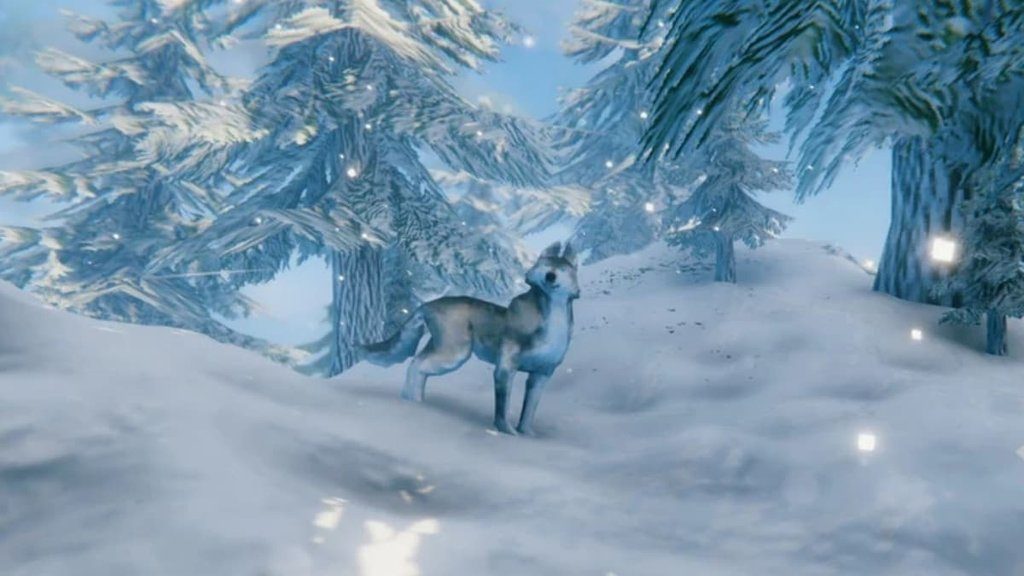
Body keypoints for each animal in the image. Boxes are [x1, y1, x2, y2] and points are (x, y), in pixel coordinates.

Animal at [361, 241, 580, 436]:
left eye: (563, 270)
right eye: (544, 266)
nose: (550, 276)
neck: (552, 327)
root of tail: (427, 304)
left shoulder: (542, 375)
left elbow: (529, 412)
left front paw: (528, 435)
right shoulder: (505, 368)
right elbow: (503, 409)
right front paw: (508, 432)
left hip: (443, 348)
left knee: (419, 365)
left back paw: (415, 401)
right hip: (455, 353)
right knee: (416, 364)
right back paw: (413, 403)